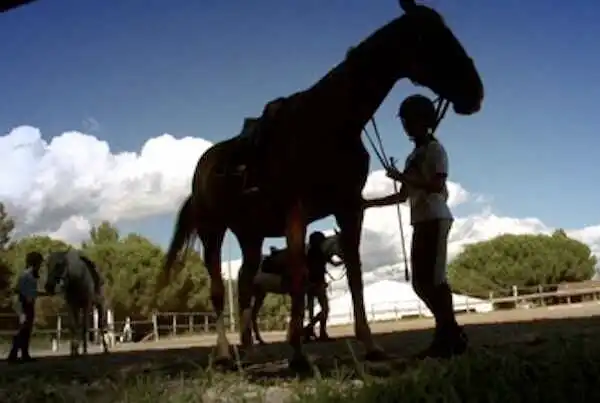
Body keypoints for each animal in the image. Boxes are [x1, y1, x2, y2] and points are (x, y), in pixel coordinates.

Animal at [163, 0, 482, 372]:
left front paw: (370, 345)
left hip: (250, 235)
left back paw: (250, 352)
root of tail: (202, 170)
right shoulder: (297, 212)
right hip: (213, 232)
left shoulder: (349, 208)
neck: (328, 123)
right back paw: (226, 354)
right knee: (217, 290)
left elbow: (356, 275)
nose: (476, 93)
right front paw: (298, 352)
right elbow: (300, 277)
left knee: (243, 284)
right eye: (432, 37)